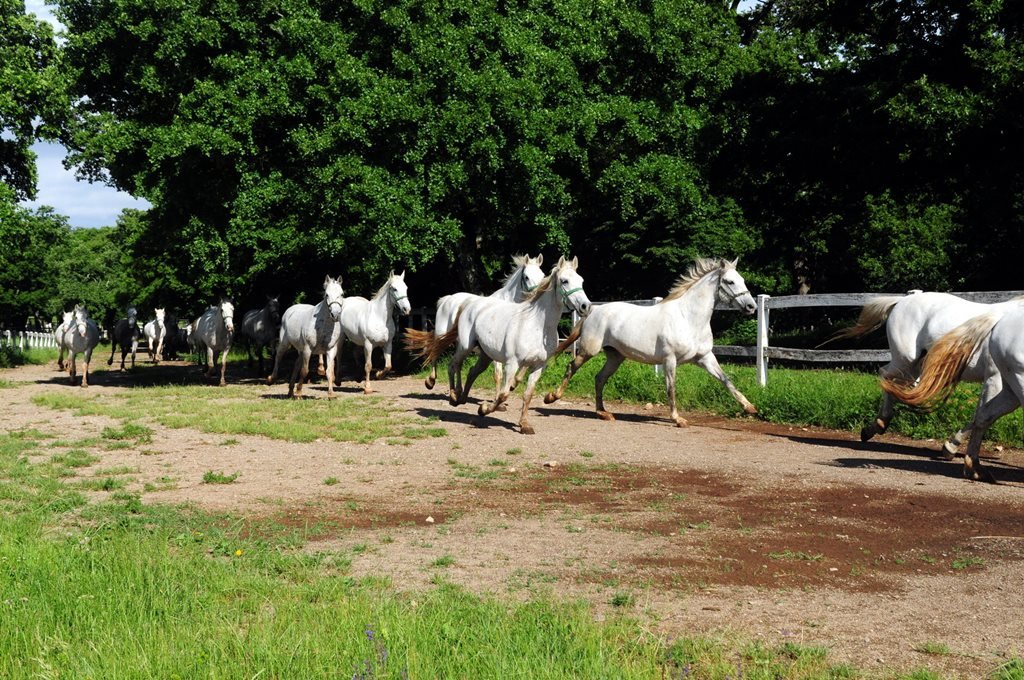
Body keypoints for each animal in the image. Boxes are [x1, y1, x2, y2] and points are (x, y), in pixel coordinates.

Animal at [413, 253, 544, 393]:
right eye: (526, 277)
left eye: (542, 275)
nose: (538, 294)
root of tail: (446, 299)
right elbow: (498, 374)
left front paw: (513, 384)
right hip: (441, 336)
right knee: (435, 352)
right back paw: (430, 382)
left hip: (462, 344)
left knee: (456, 364)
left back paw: (457, 389)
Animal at [544, 259, 761, 426]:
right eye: (730, 281)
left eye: (742, 280)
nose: (752, 306)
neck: (689, 318)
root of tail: (592, 310)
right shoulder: (670, 360)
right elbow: (671, 387)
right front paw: (678, 419)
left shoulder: (705, 358)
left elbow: (726, 380)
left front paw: (750, 407)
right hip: (589, 350)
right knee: (572, 367)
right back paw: (551, 397)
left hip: (615, 357)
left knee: (599, 378)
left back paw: (603, 413)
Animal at [831, 292, 1024, 456]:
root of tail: (902, 300)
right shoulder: (994, 378)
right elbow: (981, 415)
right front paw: (950, 447)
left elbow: (985, 414)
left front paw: (951, 446)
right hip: (906, 359)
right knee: (885, 375)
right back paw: (877, 425)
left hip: (915, 367)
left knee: (895, 383)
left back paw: (874, 427)